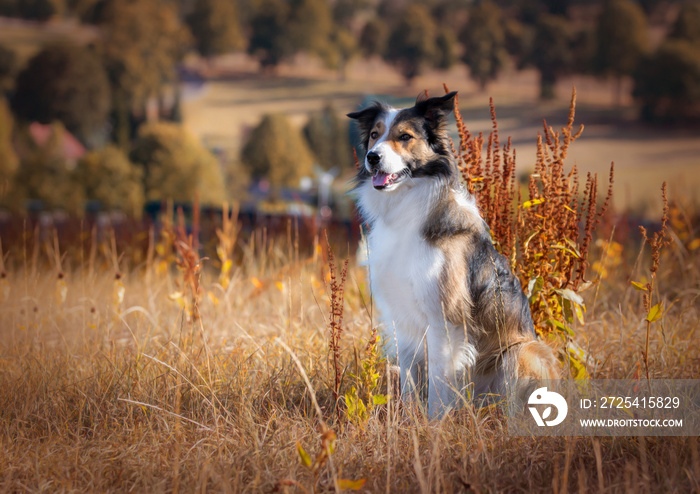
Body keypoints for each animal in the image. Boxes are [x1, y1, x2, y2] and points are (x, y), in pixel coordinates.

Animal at [348, 92, 556, 416]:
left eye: (404, 136)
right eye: (373, 135)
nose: (372, 157)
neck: (406, 207)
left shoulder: (444, 318)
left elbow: (437, 383)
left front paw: (434, 422)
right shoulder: (403, 319)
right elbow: (410, 381)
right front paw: (408, 418)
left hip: (520, 351)